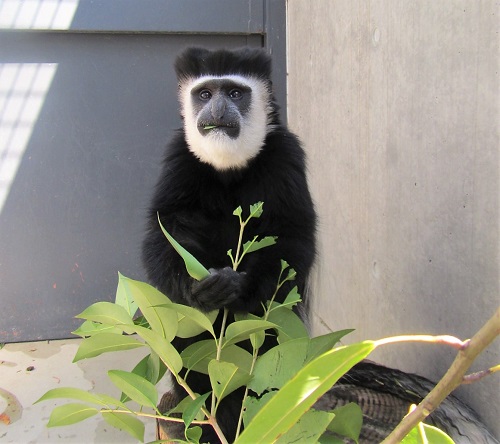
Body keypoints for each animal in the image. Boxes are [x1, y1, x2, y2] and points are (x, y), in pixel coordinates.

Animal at [144, 46, 316, 442]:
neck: (228, 166)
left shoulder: (286, 157)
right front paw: (196, 286)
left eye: (235, 93)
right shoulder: (180, 158)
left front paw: (238, 286)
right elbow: (165, 229)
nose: (218, 109)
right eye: (205, 94)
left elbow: (295, 239)